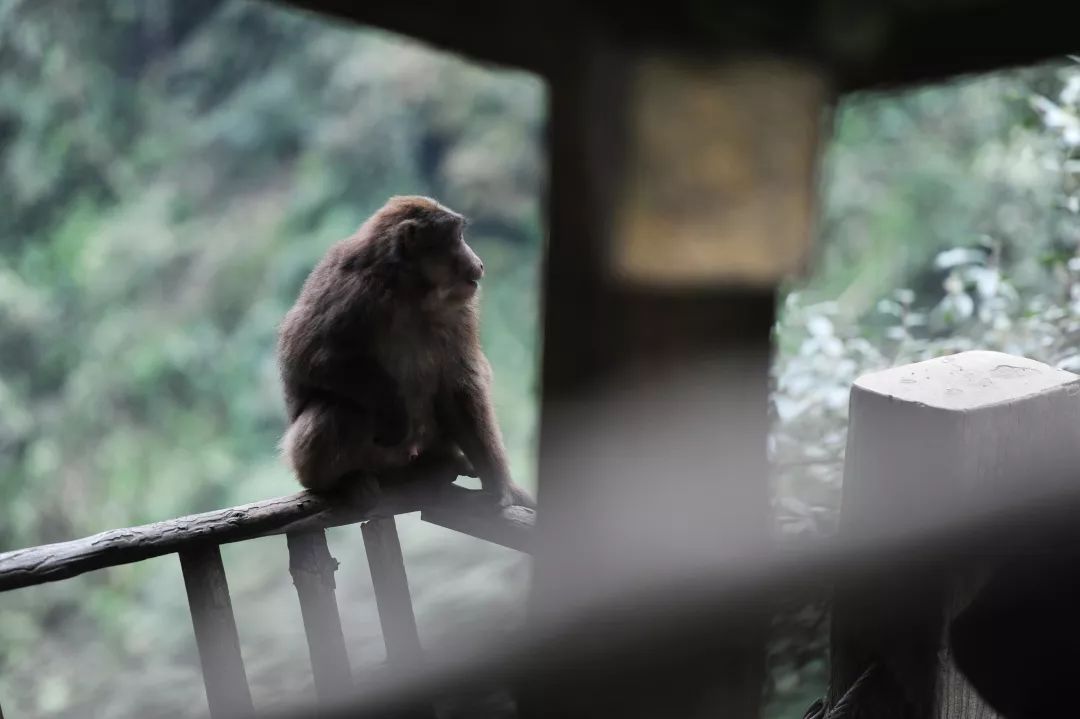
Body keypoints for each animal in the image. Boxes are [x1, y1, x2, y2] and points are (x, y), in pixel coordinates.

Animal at [274, 193, 535, 507]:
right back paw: (344, 480)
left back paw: (442, 463)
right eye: (456, 237)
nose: (479, 263)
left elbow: (459, 383)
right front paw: (393, 410)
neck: (409, 290)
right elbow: (306, 357)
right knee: (338, 409)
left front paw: (500, 484)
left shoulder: (460, 310)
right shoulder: (351, 294)